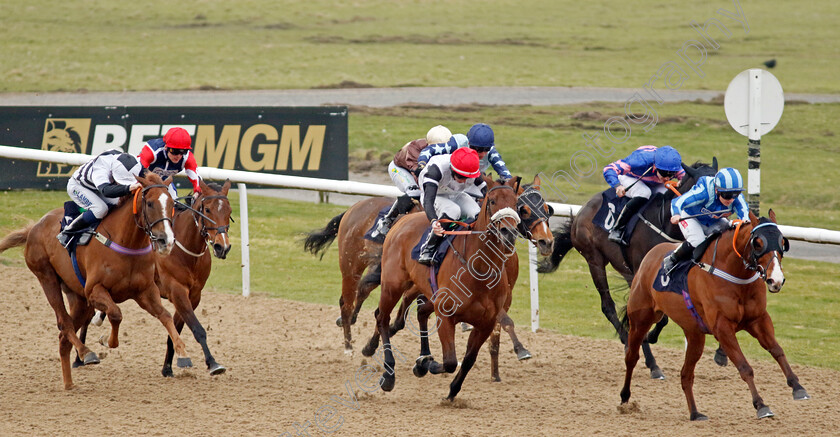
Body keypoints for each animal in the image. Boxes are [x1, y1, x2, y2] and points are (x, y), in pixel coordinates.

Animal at [0, 171, 192, 388]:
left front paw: (183, 353)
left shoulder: (145, 292)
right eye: (150, 203)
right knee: (64, 323)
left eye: (172, 204)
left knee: (63, 337)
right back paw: (86, 353)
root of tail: (34, 227)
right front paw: (106, 340)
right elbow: (116, 313)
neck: (126, 242)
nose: (166, 241)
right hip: (47, 278)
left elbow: (165, 316)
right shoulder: (94, 291)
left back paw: (69, 384)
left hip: (78, 298)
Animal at [73, 177, 233, 374]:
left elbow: (175, 328)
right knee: (86, 317)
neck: (185, 251)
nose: (222, 247)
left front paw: (169, 367)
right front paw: (213, 363)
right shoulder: (177, 291)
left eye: (229, 211)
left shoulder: (194, 295)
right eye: (208, 209)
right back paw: (80, 358)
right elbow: (197, 328)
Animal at [372, 178, 520, 398]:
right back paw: (389, 374)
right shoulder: (446, 316)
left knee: (420, 312)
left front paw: (451, 392)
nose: (508, 233)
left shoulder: (486, 323)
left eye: (516, 203)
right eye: (492, 201)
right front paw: (425, 365)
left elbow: (468, 360)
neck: (479, 269)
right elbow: (450, 361)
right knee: (382, 318)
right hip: (392, 285)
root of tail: (402, 220)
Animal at [540, 160, 720, 378]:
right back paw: (634, 348)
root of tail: (581, 212)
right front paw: (649, 349)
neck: (665, 223)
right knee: (607, 306)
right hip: (594, 261)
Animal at [624, 210, 808, 418]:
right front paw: (761, 405)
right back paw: (625, 398)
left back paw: (695, 414)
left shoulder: (758, 319)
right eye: (758, 243)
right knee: (632, 357)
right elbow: (744, 366)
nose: (776, 280)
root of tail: (651, 254)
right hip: (640, 319)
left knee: (686, 374)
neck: (735, 276)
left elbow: (777, 350)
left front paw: (797, 387)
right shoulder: (723, 327)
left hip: (695, 335)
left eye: (782, 242)